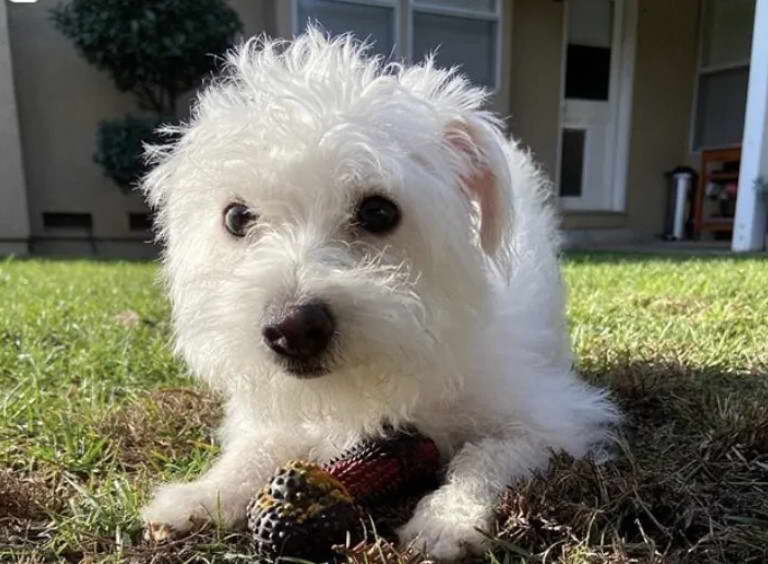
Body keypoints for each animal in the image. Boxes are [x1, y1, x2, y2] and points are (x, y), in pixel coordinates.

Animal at [140, 28, 616, 556]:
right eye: (236, 217)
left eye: (379, 212)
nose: (292, 329)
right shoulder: (277, 419)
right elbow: (252, 450)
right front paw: (201, 495)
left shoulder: (552, 420)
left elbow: (485, 458)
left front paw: (447, 519)